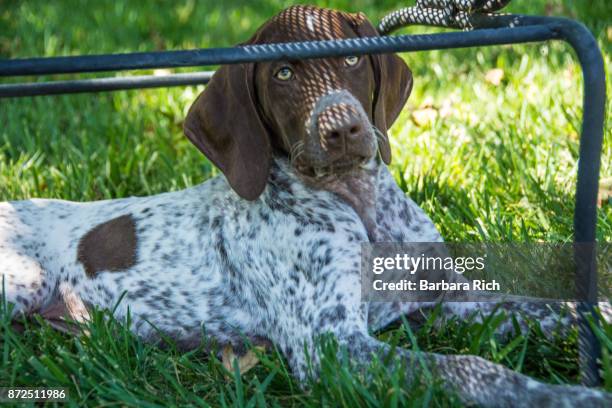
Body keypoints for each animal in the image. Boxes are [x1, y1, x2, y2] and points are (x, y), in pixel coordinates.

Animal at [0, 4, 608, 406]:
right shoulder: (332, 346)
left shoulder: (444, 302)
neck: (361, 207)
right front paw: (564, 396)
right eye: (284, 72)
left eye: (354, 61)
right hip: (22, 282)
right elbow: (470, 368)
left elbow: (551, 307)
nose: (343, 129)